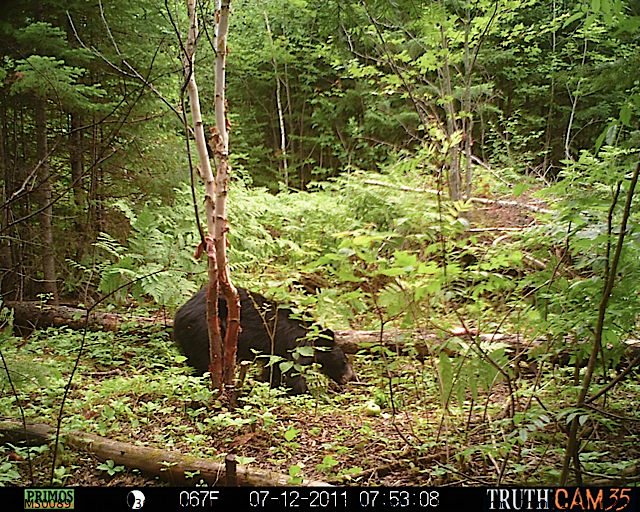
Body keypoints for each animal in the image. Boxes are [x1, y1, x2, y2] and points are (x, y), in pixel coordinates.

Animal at [175, 288, 356, 392]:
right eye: (344, 360)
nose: (351, 377)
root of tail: (179, 314)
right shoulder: (292, 347)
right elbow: (291, 375)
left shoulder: (276, 354)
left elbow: (274, 371)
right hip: (204, 333)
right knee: (205, 363)